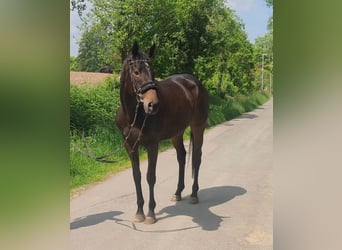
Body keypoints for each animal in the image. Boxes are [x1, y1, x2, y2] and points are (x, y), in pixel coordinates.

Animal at [115, 41, 208, 225]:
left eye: (153, 71)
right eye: (136, 72)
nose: (153, 105)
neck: (134, 115)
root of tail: (195, 83)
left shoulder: (152, 145)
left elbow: (150, 177)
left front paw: (151, 213)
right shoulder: (130, 146)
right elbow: (136, 176)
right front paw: (139, 212)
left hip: (198, 127)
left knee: (196, 158)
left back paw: (194, 194)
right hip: (176, 133)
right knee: (181, 157)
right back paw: (178, 193)